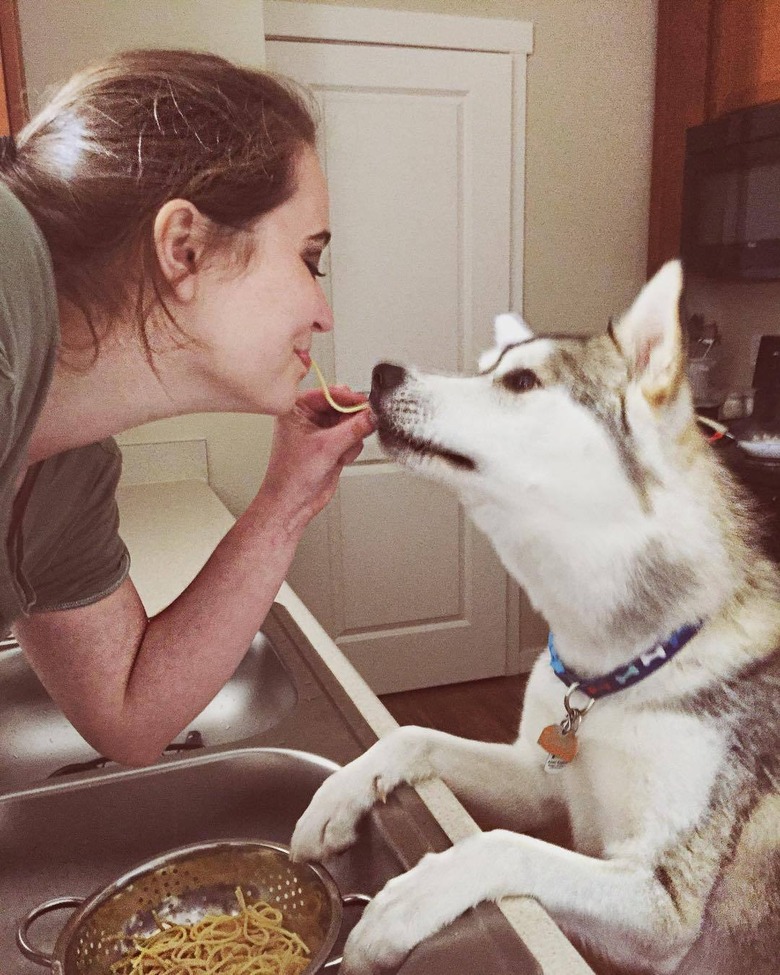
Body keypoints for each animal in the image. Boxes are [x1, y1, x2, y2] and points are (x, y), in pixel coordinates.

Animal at [292, 264, 780, 975]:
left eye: (520, 381)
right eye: (484, 367)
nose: (382, 373)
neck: (610, 675)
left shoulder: (663, 906)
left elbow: (503, 845)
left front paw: (403, 903)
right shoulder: (538, 780)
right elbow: (411, 735)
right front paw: (337, 794)